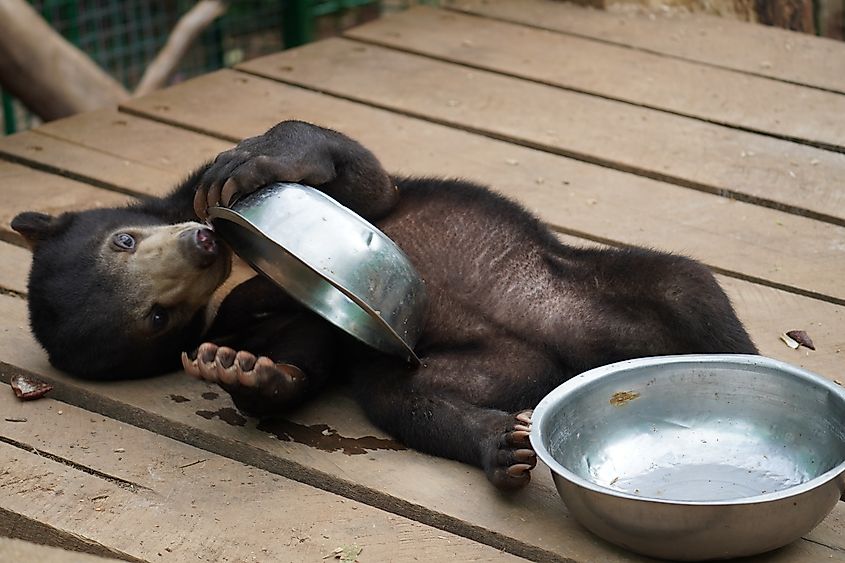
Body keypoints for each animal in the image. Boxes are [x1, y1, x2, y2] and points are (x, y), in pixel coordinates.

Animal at [11, 120, 757, 490]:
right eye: (157, 318)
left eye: (125, 239)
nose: (202, 244)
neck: (240, 275)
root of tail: (567, 358)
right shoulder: (302, 320)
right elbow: (300, 358)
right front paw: (240, 371)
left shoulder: (352, 204)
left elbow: (363, 181)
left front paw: (256, 158)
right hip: (475, 368)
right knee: (407, 401)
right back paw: (497, 448)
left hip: (599, 285)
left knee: (687, 287)